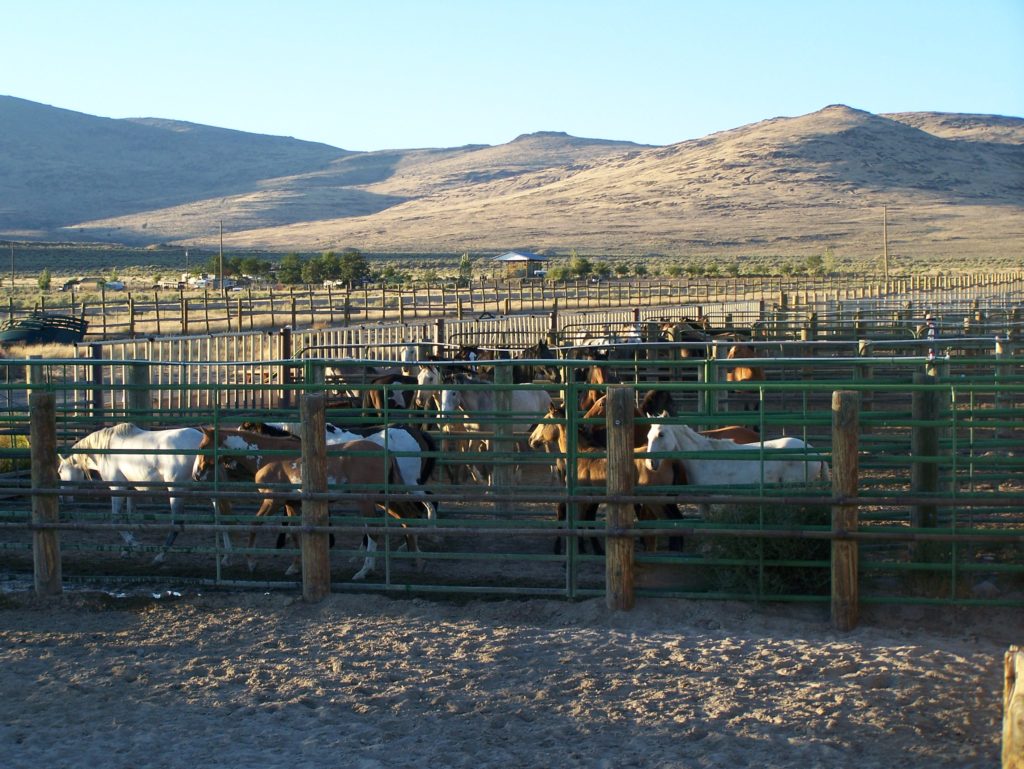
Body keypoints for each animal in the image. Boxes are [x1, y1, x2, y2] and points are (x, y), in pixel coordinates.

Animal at [58, 423, 232, 561]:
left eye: (59, 471)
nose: (63, 498)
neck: (106, 449)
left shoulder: (118, 488)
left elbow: (115, 520)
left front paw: (136, 546)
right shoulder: (130, 489)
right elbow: (130, 518)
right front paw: (128, 550)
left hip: (176, 491)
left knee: (177, 523)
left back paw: (160, 556)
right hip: (210, 491)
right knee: (221, 519)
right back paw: (226, 557)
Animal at [193, 428, 425, 577]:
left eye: (203, 445)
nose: (196, 474)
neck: (270, 456)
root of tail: (385, 451)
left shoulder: (273, 500)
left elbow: (255, 524)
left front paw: (251, 562)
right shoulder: (292, 503)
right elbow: (296, 533)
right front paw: (295, 567)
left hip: (367, 500)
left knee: (375, 530)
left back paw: (364, 570)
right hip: (383, 497)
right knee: (407, 517)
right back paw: (415, 559)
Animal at [528, 405, 688, 557]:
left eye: (545, 421)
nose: (531, 440)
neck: (582, 453)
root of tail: (670, 460)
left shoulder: (582, 498)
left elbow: (579, 520)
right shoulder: (592, 498)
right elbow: (586, 520)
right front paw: (594, 549)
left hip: (657, 501)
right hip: (669, 500)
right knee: (678, 522)